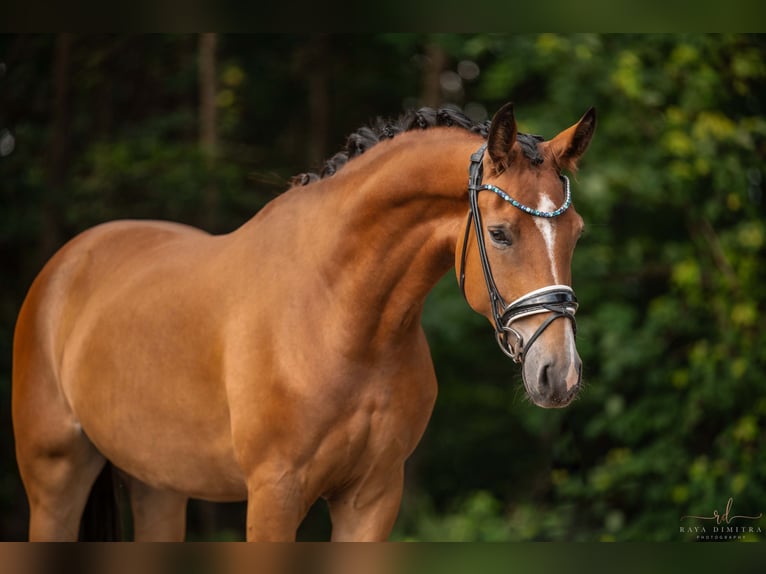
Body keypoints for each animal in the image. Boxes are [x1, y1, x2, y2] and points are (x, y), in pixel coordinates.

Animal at [13, 103, 600, 544]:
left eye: (576, 233)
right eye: (500, 234)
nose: (559, 373)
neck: (341, 320)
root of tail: (65, 265)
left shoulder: (372, 497)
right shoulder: (275, 493)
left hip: (157, 483)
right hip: (55, 478)